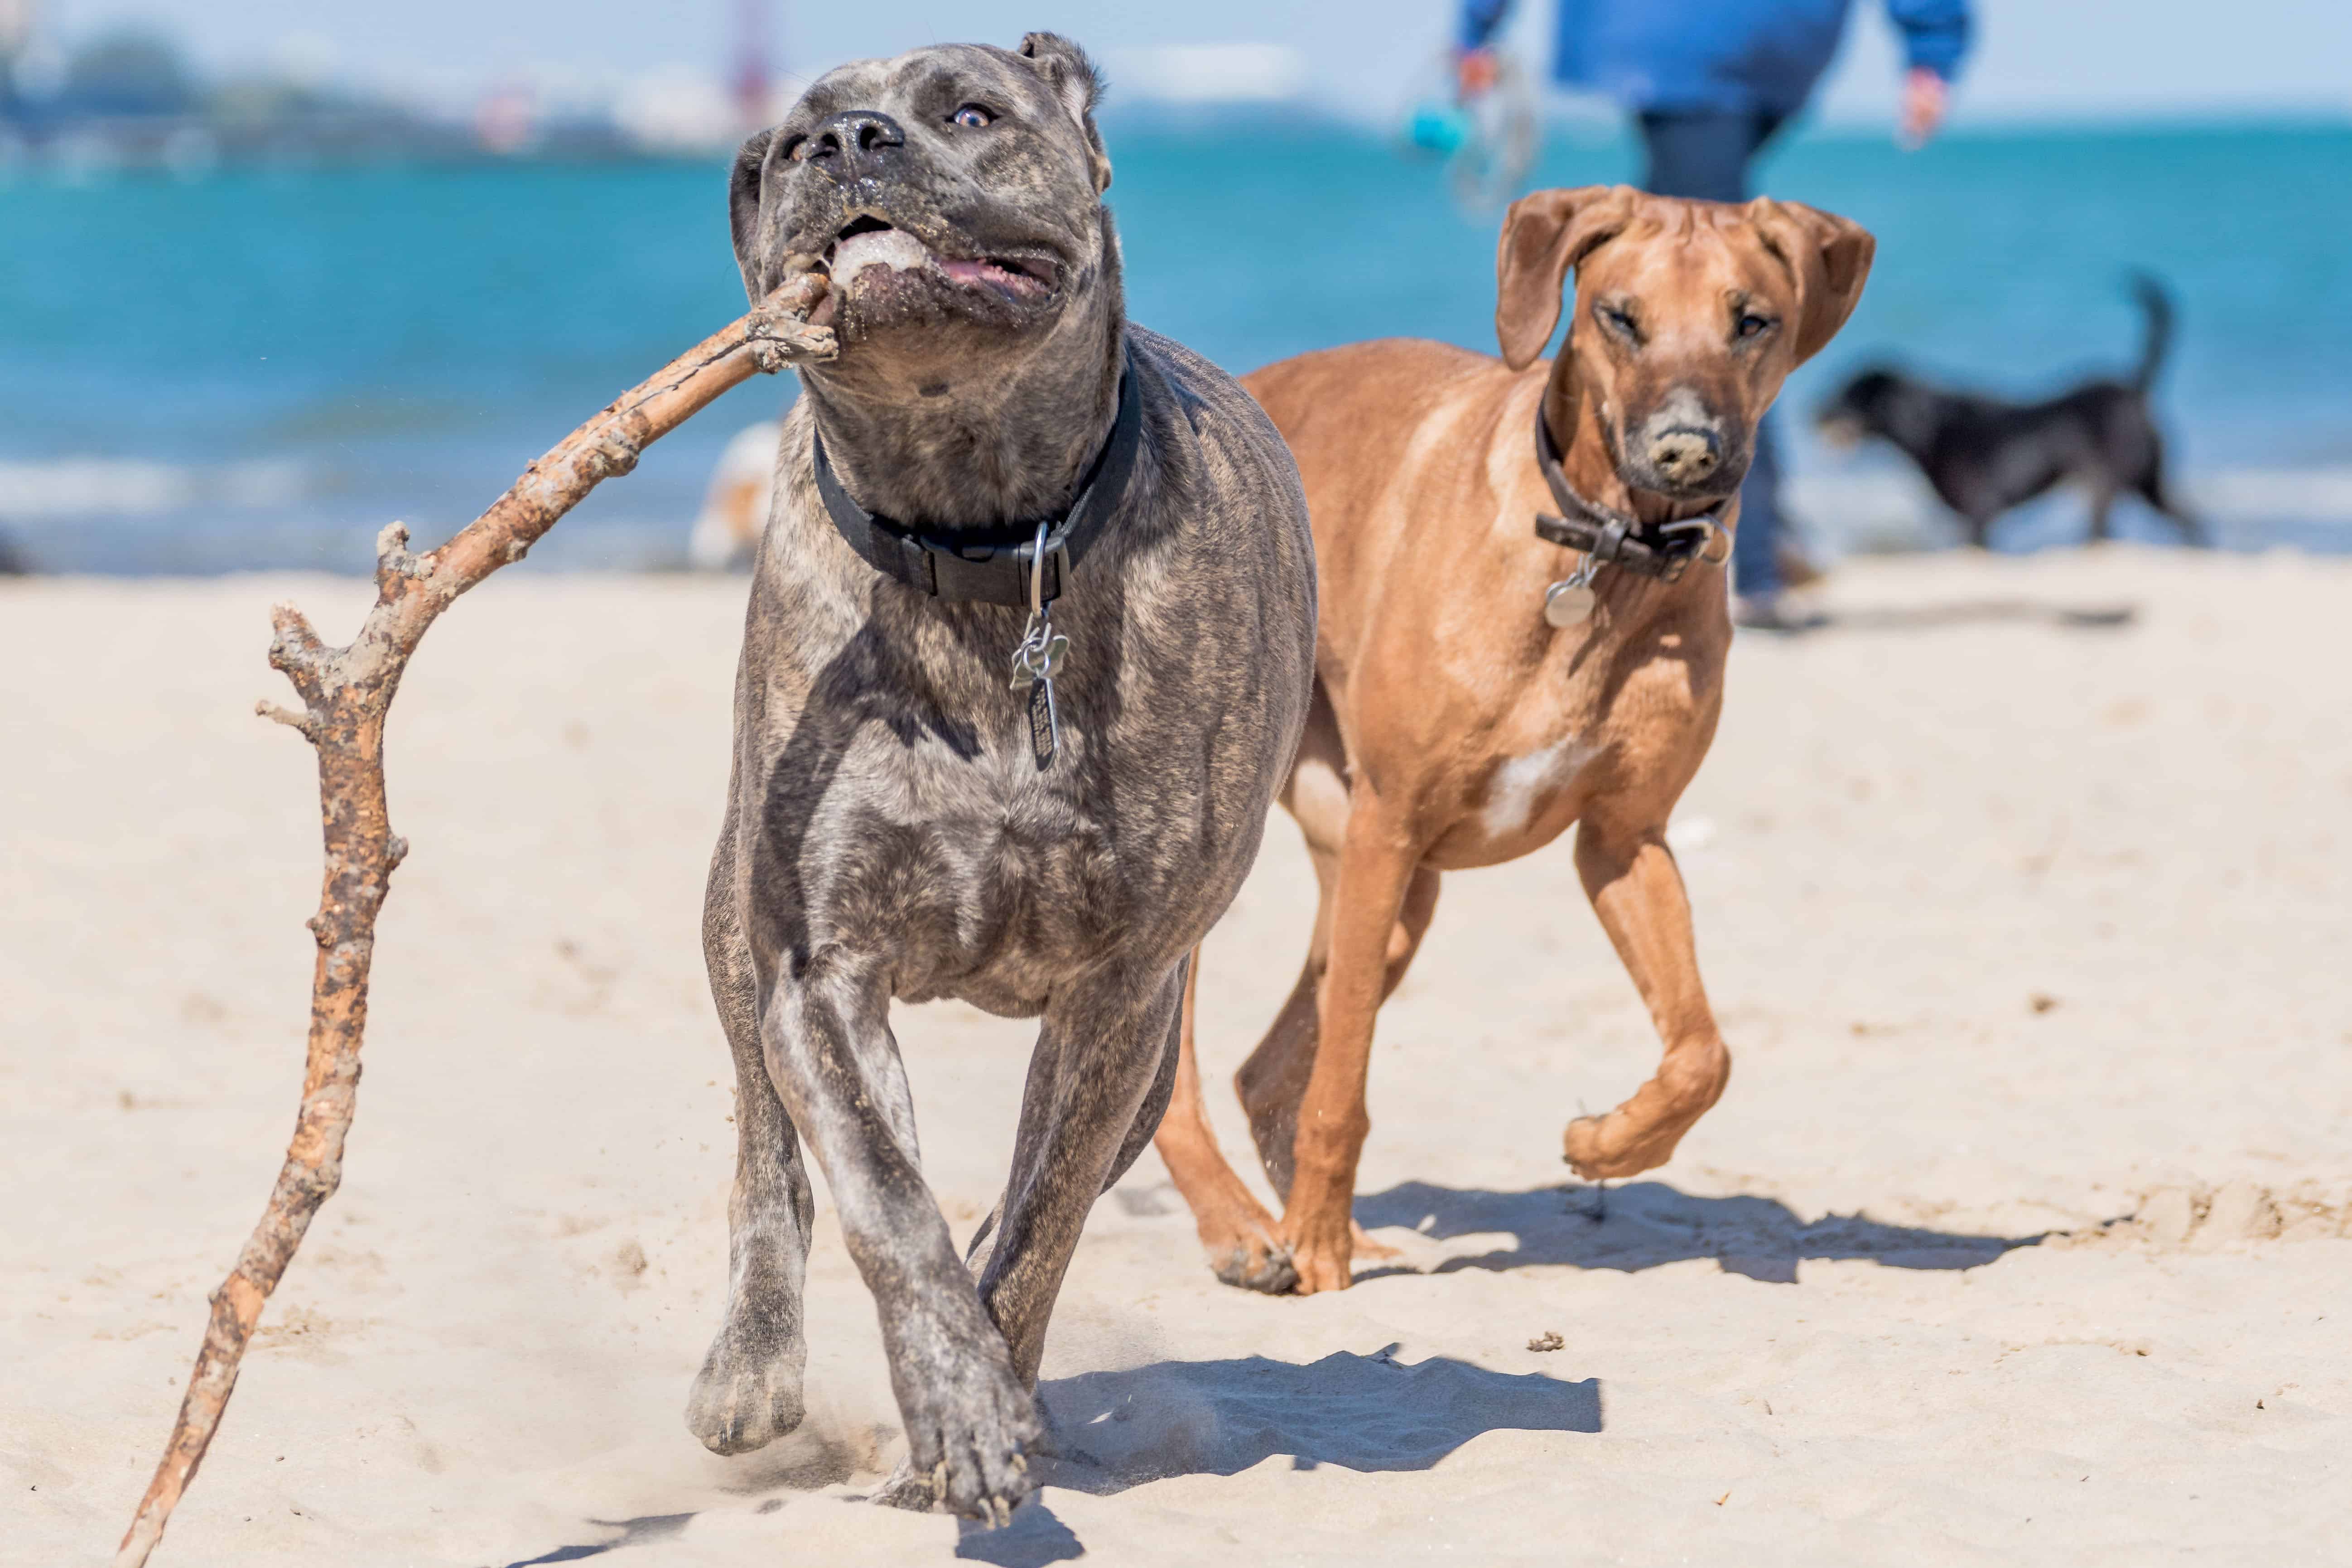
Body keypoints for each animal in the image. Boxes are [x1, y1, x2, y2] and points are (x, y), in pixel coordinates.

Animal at [1152, 184, 1872, 1298]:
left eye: (1751, 320)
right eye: (1620, 316)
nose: (1686, 449)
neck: (1602, 561)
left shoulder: (1624, 838)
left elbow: (1701, 1052)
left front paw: (1607, 1140)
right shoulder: (1393, 825)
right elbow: (1343, 1084)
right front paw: (1316, 1248)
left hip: (1390, 886)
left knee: (1266, 1067)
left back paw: (1323, 1228)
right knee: (1190, 1074)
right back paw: (1247, 1227)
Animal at [1816, 276, 2201, 552]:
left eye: (1845, 394)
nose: (1810, 413)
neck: (1935, 426)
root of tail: (2133, 388)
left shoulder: (1980, 515)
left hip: (2103, 487)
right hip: (2149, 484)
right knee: (2192, 521)